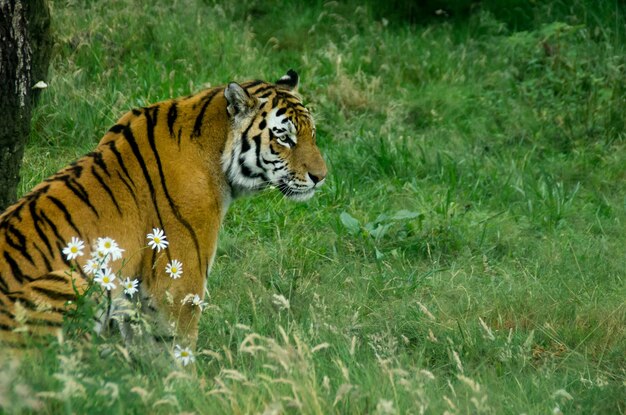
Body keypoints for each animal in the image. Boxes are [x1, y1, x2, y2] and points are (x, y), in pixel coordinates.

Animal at [0, 70, 324, 350]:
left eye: (312, 134)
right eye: (284, 138)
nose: (321, 177)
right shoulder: (177, 280)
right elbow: (175, 347)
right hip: (73, 283)